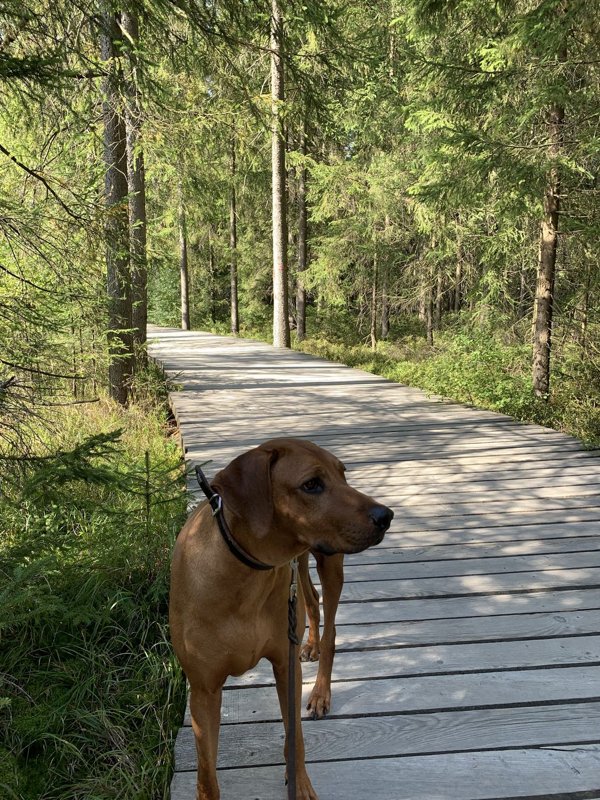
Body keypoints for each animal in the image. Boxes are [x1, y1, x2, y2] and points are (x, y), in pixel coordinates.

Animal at [169, 438, 394, 800]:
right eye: (311, 484)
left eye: (343, 474)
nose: (385, 515)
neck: (244, 574)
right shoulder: (203, 690)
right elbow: (206, 775)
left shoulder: (284, 666)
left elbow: (295, 736)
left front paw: (299, 784)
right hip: (298, 566)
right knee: (311, 599)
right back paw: (311, 645)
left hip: (328, 562)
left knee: (331, 629)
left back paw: (320, 691)